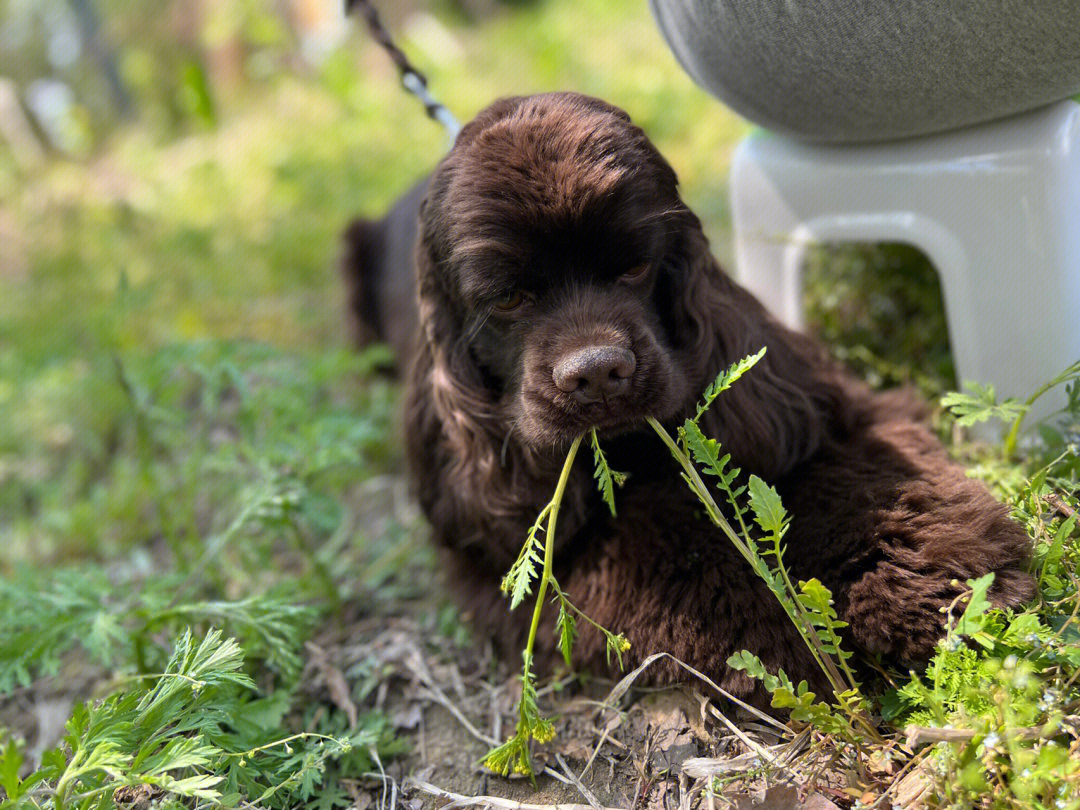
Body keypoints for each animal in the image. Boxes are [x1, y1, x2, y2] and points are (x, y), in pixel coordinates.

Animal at [341, 93, 1032, 704]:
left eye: (633, 267)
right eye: (508, 298)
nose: (597, 372)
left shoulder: (819, 410)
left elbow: (861, 483)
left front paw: (928, 588)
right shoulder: (514, 551)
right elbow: (670, 549)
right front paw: (793, 637)